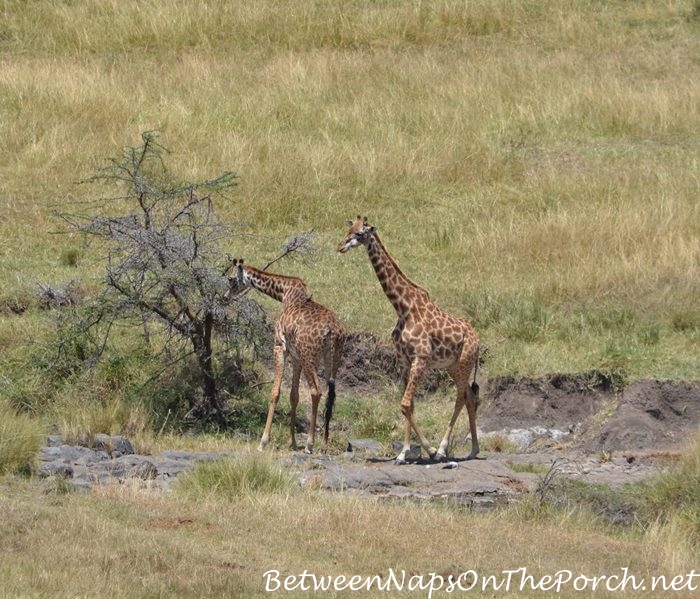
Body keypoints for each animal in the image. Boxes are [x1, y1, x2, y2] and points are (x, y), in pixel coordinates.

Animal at [228, 260, 346, 452]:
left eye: (230, 279)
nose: (226, 296)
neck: (285, 293)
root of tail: (333, 331)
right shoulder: (296, 356)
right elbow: (294, 395)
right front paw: (292, 442)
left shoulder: (279, 347)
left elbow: (275, 392)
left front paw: (263, 442)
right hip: (333, 359)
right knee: (331, 395)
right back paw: (325, 443)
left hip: (309, 356)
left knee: (316, 391)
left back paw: (310, 444)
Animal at [334, 216, 478, 464]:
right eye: (348, 229)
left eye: (360, 233)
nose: (340, 246)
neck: (403, 307)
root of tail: (478, 340)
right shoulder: (404, 360)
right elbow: (409, 405)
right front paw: (403, 453)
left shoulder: (420, 357)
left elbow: (404, 403)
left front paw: (429, 450)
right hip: (452, 366)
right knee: (469, 396)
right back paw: (474, 449)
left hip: (464, 362)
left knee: (461, 396)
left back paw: (443, 450)